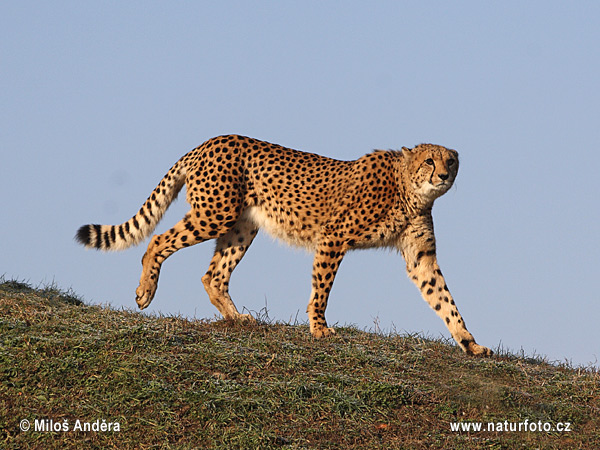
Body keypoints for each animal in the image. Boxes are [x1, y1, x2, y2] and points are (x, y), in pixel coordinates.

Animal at [76, 134, 492, 356]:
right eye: (429, 160)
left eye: (450, 161)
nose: (443, 175)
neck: (409, 189)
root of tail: (209, 141)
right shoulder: (333, 237)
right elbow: (321, 289)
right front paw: (319, 328)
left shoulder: (420, 256)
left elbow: (443, 299)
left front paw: (470, 343)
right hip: (214, 214)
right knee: (158, 240)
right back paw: (145, 291)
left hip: (241, 227)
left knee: (213, 275)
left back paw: (237, 317)